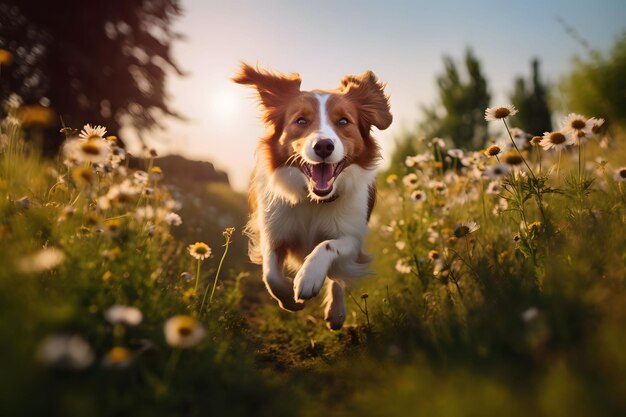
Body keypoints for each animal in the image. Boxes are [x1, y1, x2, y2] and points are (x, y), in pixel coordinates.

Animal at [234, 63, 390, 328]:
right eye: (301, 120)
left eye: (343, 121)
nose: (324, 146)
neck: (313, 199)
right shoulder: (274, 231)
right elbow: (271, 275)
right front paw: (290, 299)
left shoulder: (353, 237)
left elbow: (328, 247)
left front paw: (308, 278)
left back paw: (336, 313)